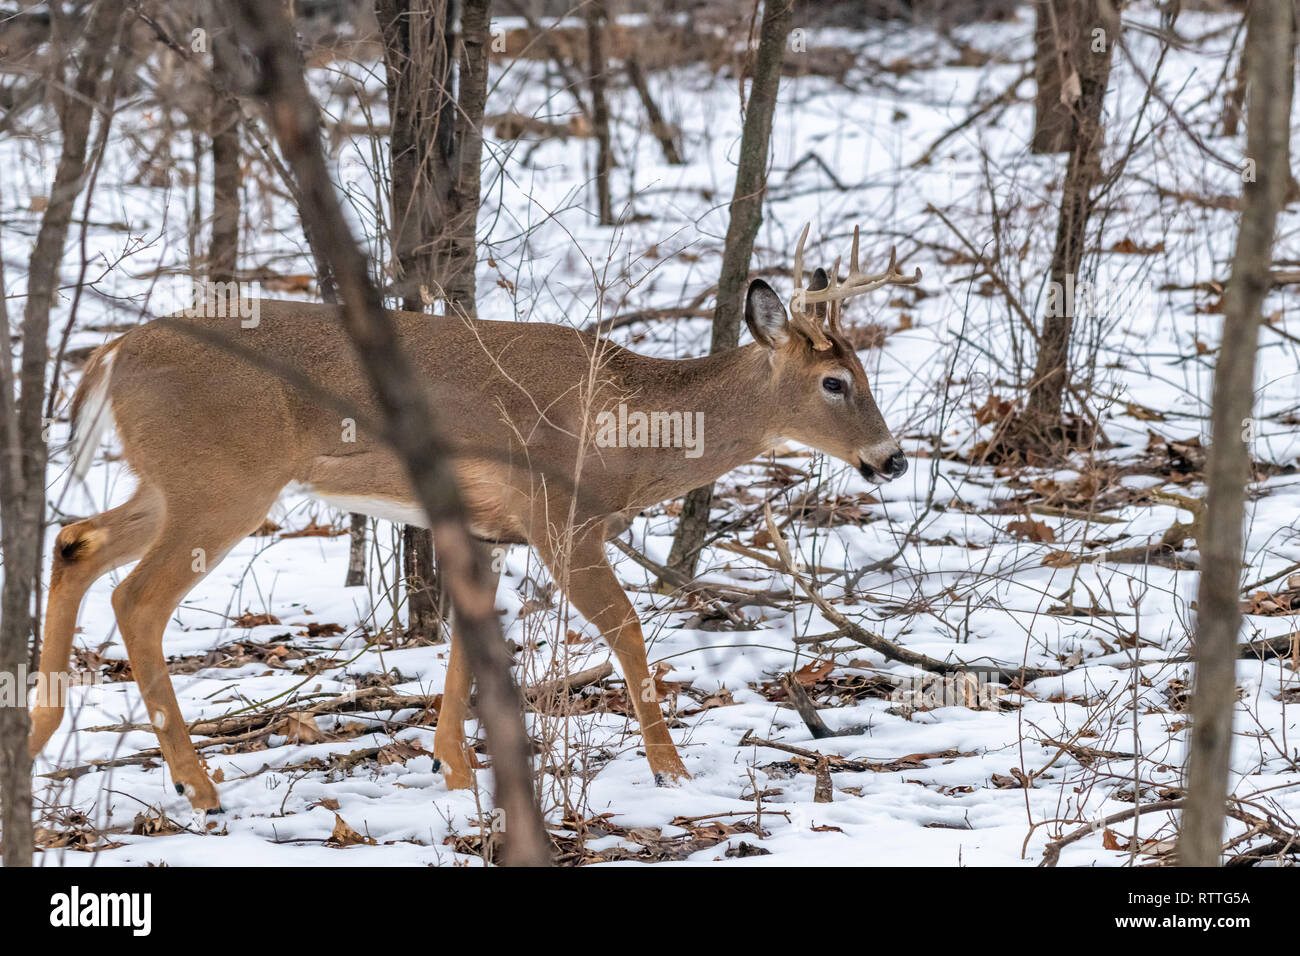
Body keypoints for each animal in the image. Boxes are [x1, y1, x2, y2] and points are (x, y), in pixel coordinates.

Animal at [27, 223, 915, 806]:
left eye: (867, 372)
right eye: (835, 383)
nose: (893, 457)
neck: (627, 430)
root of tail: (111, 355)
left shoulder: (487, 525)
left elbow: (467, 642)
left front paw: (451, 770)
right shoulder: (561, 519)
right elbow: (626, 629)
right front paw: (672, 770)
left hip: (174, 483)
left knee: (75, 541)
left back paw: (36, 737)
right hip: (225, 482)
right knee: (136, 598)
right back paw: (195, 784)